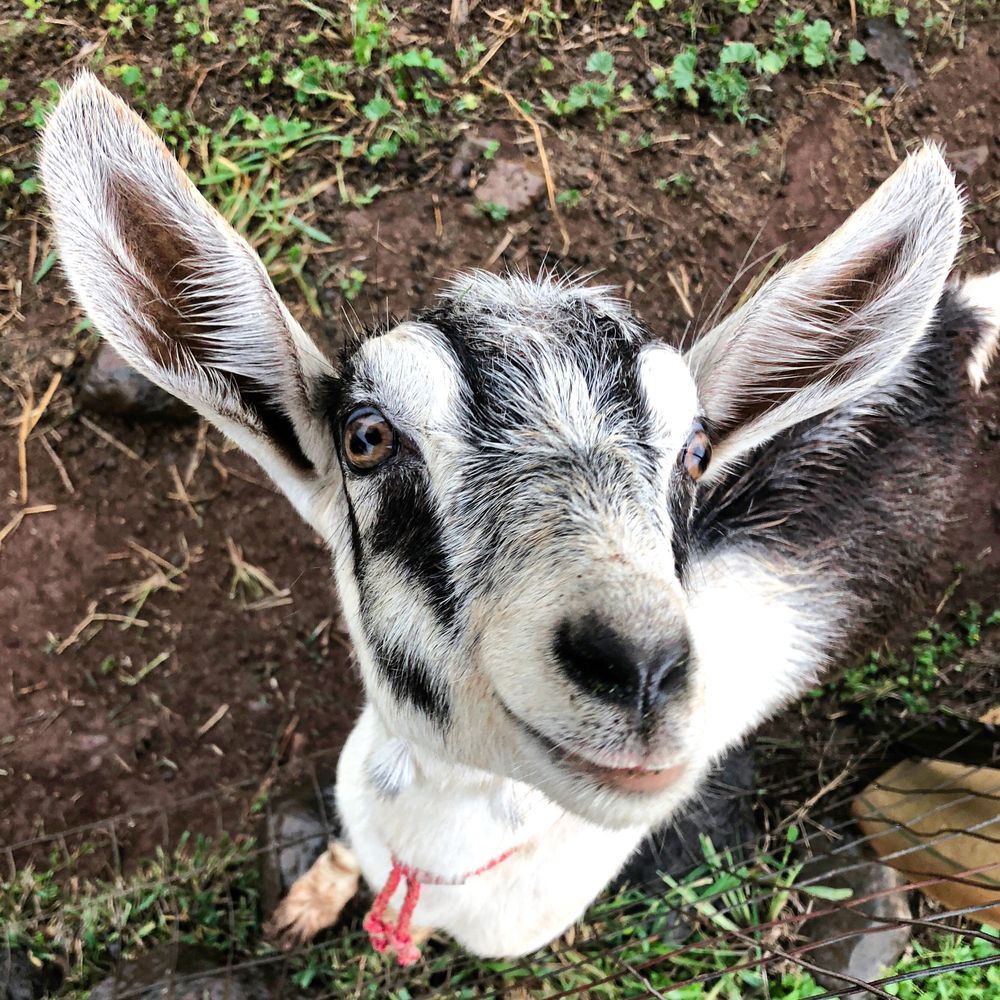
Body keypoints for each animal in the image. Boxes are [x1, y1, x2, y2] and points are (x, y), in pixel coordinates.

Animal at [41, 74, 1000, 962]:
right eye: (366, 437)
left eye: (695, 451)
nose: (641, 667)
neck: (434, 859)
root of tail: (953, 323)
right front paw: (308, 901)